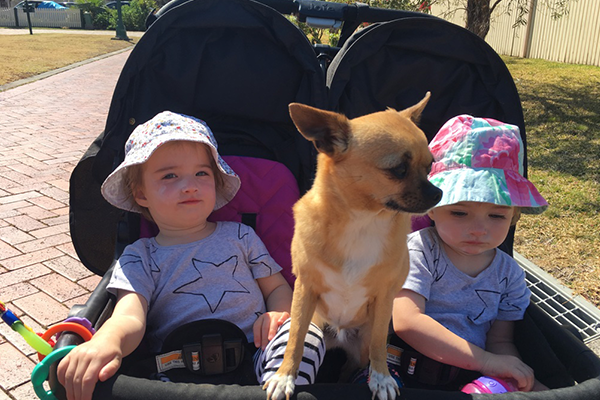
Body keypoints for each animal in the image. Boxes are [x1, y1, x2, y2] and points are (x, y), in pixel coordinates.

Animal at [264, 92, 442, 398]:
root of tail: (340, 334)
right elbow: (295, 338)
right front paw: (284, 376)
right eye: (398, 169)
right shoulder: (305, 289)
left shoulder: (384, 299)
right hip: (317, 324)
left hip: (360, 346)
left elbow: (380, 344)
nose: (438, 193)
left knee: (354, 363)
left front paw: (382, 378)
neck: (363, 221)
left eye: (429, 165)